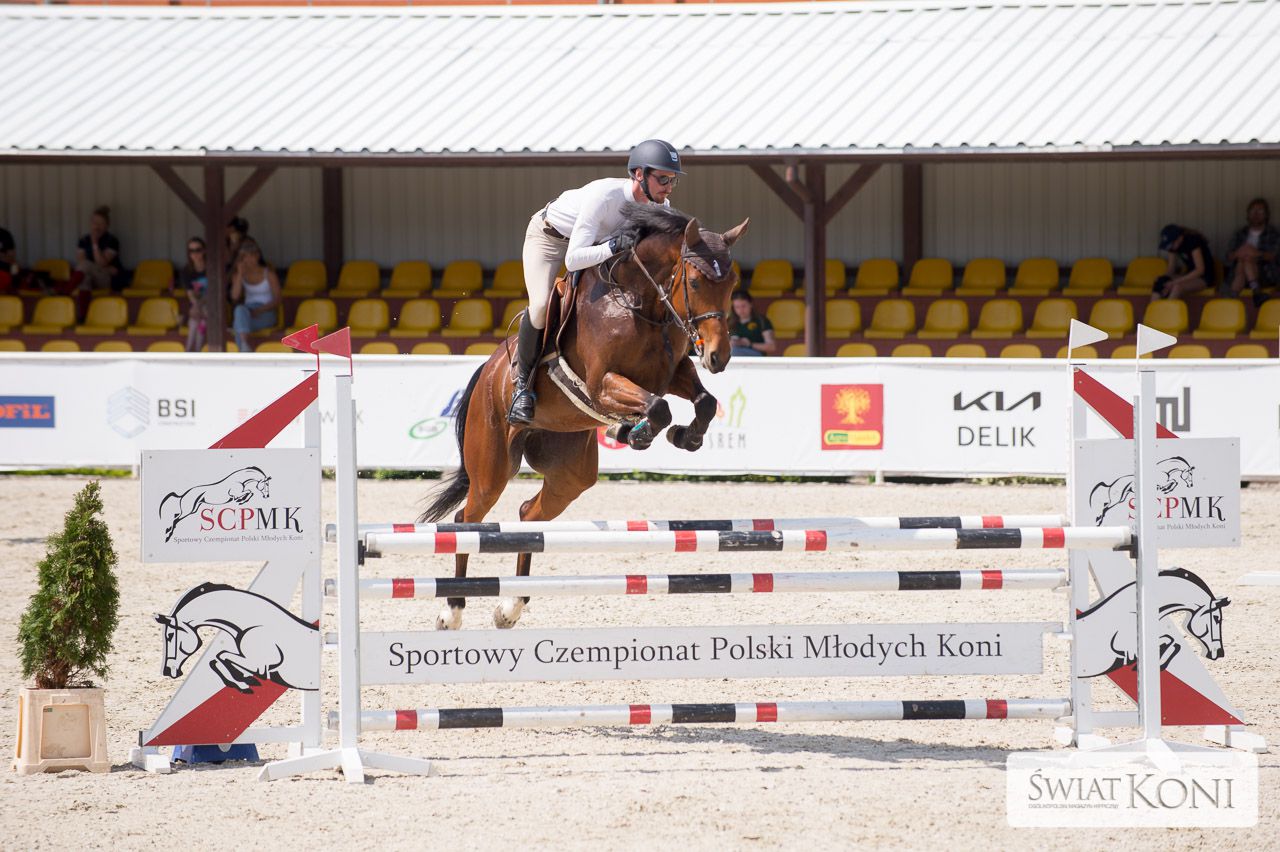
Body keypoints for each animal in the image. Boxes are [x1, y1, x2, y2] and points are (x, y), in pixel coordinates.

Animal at [155, 582, 319, 693]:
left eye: (170, 635)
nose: (167, 671)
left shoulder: (260, 664)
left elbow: (222, 656)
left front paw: (242, 683)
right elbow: (216, 659)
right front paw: (245, 679)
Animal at [419, 205, 748, 631]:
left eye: (733, 281)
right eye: (694, 280)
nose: (718, 357)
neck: (641, 304)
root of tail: (488, 372)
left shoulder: (673, 372)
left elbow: (702, 402)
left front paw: (682, 437)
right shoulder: (601, 383)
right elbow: (658, 407)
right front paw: (636, 433)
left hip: (570, 472)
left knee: (529, 515)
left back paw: (511, 606)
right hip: (491, 465)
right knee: (467, 519)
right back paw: (453, 609)